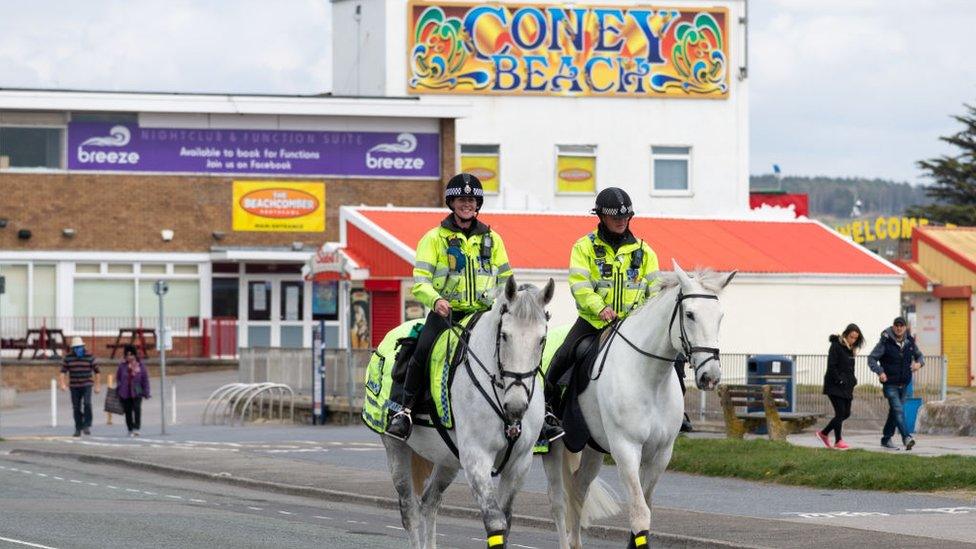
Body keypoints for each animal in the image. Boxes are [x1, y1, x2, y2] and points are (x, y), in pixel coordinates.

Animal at [382, 278, 552, 548]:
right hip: (396, 449)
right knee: (410, 511)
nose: (516, 406)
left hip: (446, 460)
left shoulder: (520, 463)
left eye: (542, 339)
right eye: (505, 335)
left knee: (429, 502)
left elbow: (506, 523)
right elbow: (495, 522)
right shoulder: (476, 458)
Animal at [540, 264, 732, 544]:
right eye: (690, 314)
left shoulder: (660, 454)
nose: (711, 376)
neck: (649, 379)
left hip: (592, 448)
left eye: (720, 316)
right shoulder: (626, 449)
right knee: (557, 503)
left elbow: (646, 511)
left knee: (578, 489)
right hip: (551, 448)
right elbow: (640, 514)